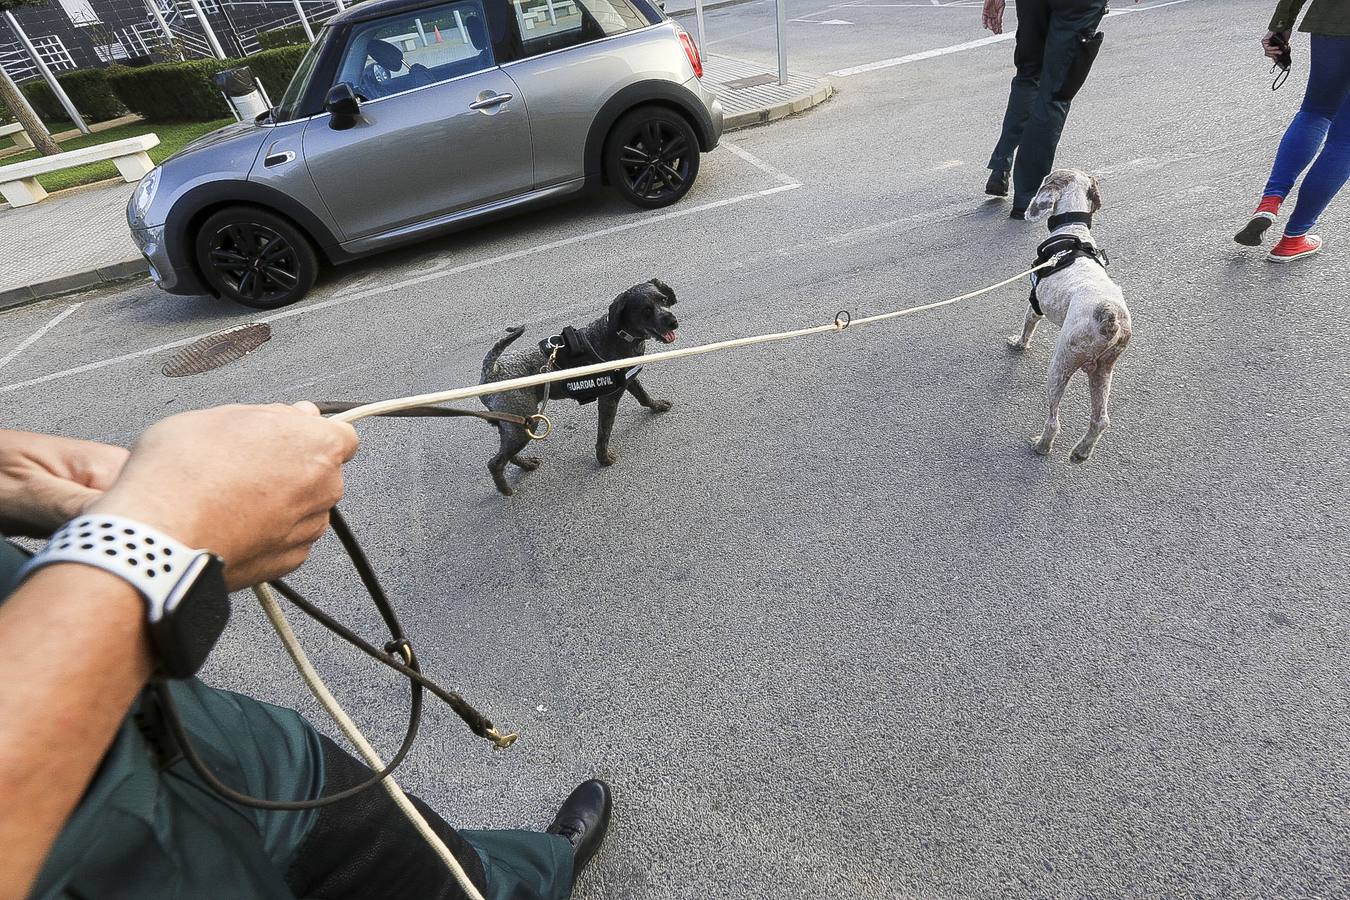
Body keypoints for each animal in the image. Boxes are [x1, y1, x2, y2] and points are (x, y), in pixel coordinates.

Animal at [480, 277, 680, 496]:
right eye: (646, 310)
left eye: (663, 300)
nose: (673, 322)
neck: (616, 334)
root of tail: (493, 370)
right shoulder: (608, 399)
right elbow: (604, 433)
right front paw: (603, 459)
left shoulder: (628, 380)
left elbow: (644, 397)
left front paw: (657, 406)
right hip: (524, 425)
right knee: (495, 462)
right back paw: (505, 489)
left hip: (515, 424)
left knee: (507, 454)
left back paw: (526, 464)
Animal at [1009, 170, 1134, 464]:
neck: (1072, 231)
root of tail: (1109, 315)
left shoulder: (1035, 304)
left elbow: (1027, 327)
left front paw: (1018, 344)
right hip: (1104, 370)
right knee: (1101, 420)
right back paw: (1081, 451)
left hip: (1061, 364)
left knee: (1054, 420)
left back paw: (1042, 446)